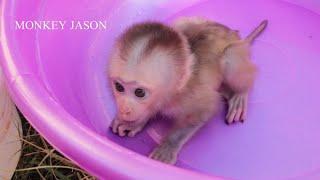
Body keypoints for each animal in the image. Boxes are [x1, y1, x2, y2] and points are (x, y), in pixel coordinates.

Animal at [107, 17, 268, 165]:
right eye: (119, 87)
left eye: (139, 92)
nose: (124, 109)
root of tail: (235, 35)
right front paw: (135, 122)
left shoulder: (191, 97)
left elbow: (203, 112)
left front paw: (168, 146)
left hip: (237, 52)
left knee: (229, 57)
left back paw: (239, 93)